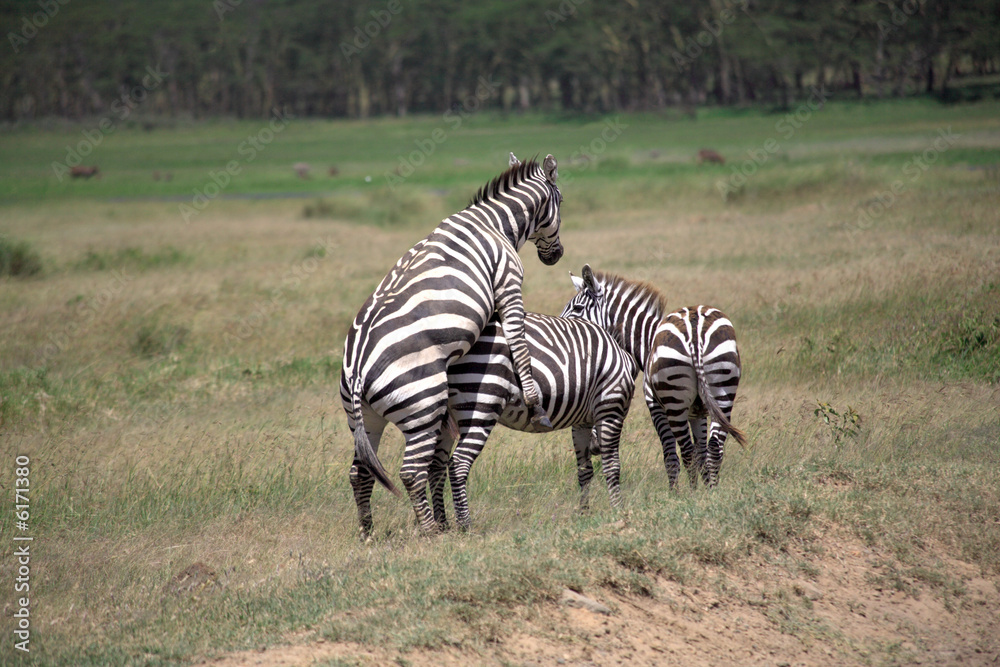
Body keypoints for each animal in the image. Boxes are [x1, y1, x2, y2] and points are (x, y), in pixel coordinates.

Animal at [340, 154, 563, 537]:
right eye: (561, 201)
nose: (558, 255)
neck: (495, 224)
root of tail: (356, 369)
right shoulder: (509, 283)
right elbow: (518, 341)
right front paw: (535, 403)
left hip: (363, 420)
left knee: (360, 472)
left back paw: (367, 533)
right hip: (422, 403)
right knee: (410, 472)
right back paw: (431, 531)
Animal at [426, 310, 640, 530]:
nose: (595, 446)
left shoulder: (582, 422)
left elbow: (585, 471)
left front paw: (584, 514)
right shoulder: (611, 407)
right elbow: (612, 467)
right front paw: (618, 511)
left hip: (447, 416)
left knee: (435, 466)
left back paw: (442, 524)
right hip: (481, 404)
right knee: (458, 464)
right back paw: (465, 525)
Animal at [561, 265, 747, 488]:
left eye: (578, 308)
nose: (595, 446)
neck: (648, 341)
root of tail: (694, 329)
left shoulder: (655, 406)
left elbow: (671, 456)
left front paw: (679, 492)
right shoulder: (699, 413)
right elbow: (701, 452)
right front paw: (708, 489)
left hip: (675, 400)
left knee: (686, 452)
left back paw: (691, 495)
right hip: (722, 389)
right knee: (713, 450)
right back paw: (711, 492)